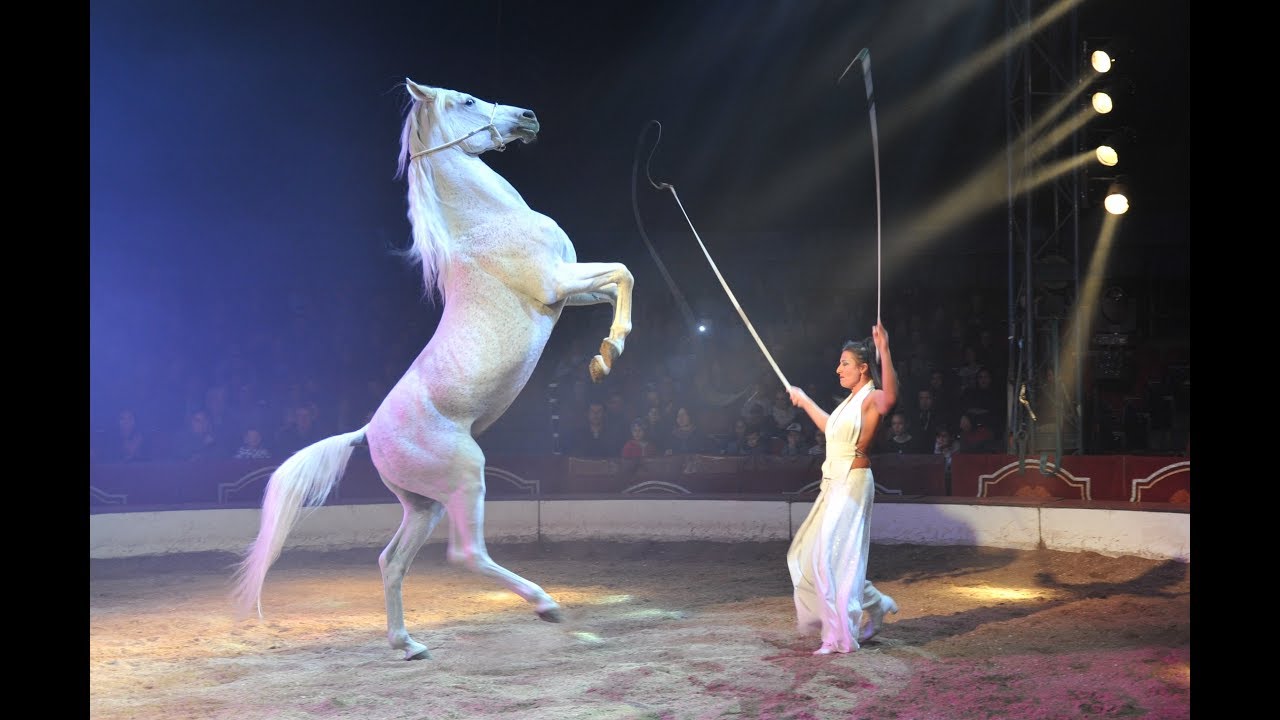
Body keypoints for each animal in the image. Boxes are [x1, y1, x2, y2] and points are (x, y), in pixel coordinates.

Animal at [232, 79, 635, 660]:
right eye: (466, 101)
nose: (527, 116)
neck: (487, 224)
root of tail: (368, 432)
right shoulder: (557, 281)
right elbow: (623, 272)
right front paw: (611, 353)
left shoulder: (567, 293)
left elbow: (613, 285)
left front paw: (602, 354)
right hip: (465, 477)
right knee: (466, 555)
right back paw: (544, 604)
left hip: (424, 506)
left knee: (391, 560)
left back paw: (408, 644)